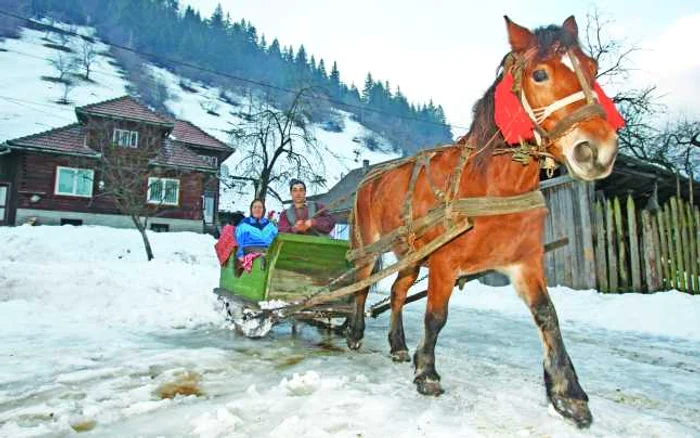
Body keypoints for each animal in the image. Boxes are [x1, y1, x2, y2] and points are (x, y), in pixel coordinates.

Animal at [346, 16, 624, 428]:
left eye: (592, 68)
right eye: (539, 74)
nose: (598, 150)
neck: (493, 185)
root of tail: (369, 179)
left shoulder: (525, 263)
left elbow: (548, 316)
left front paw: (568, 393)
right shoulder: (444, 262)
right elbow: (436, 316)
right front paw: (427, 371)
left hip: (411, 256)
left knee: (396, 291)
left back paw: (397, 345)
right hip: (370, 247)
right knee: (362, 288)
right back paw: (354, 332)